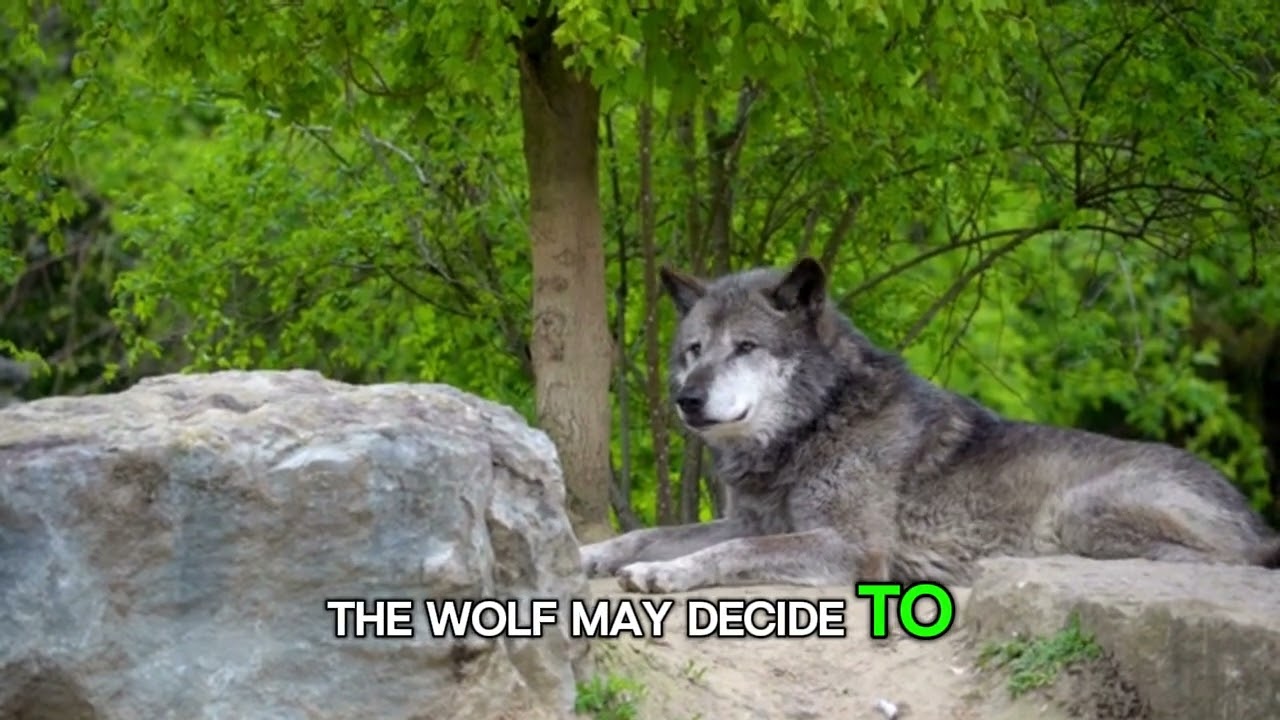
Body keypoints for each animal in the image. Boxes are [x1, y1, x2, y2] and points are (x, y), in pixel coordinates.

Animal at [580, 257, 1280, 594]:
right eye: (695, 350)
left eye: (747, 348)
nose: (687, 400)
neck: (814, 425)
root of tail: (1255, 516)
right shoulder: (752, 519)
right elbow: (652, 533)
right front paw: (591, 554)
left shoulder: (853, 547)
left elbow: (730, 553)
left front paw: (668, 575)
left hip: (1086, 510)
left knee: (1233, 562)